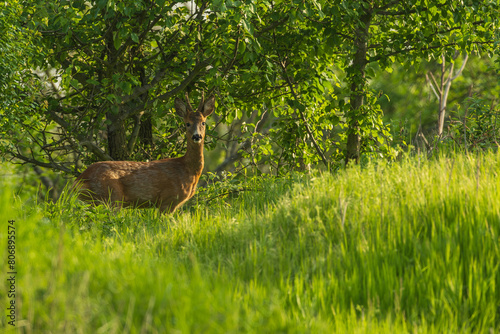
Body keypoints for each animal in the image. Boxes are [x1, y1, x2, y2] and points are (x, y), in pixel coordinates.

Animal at [73, 94, 215, 214]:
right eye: (187, 123)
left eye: (203, 122)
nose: (197, 136)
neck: (187, 169)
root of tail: (79, 180)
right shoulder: (168, 199)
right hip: (111, 195)